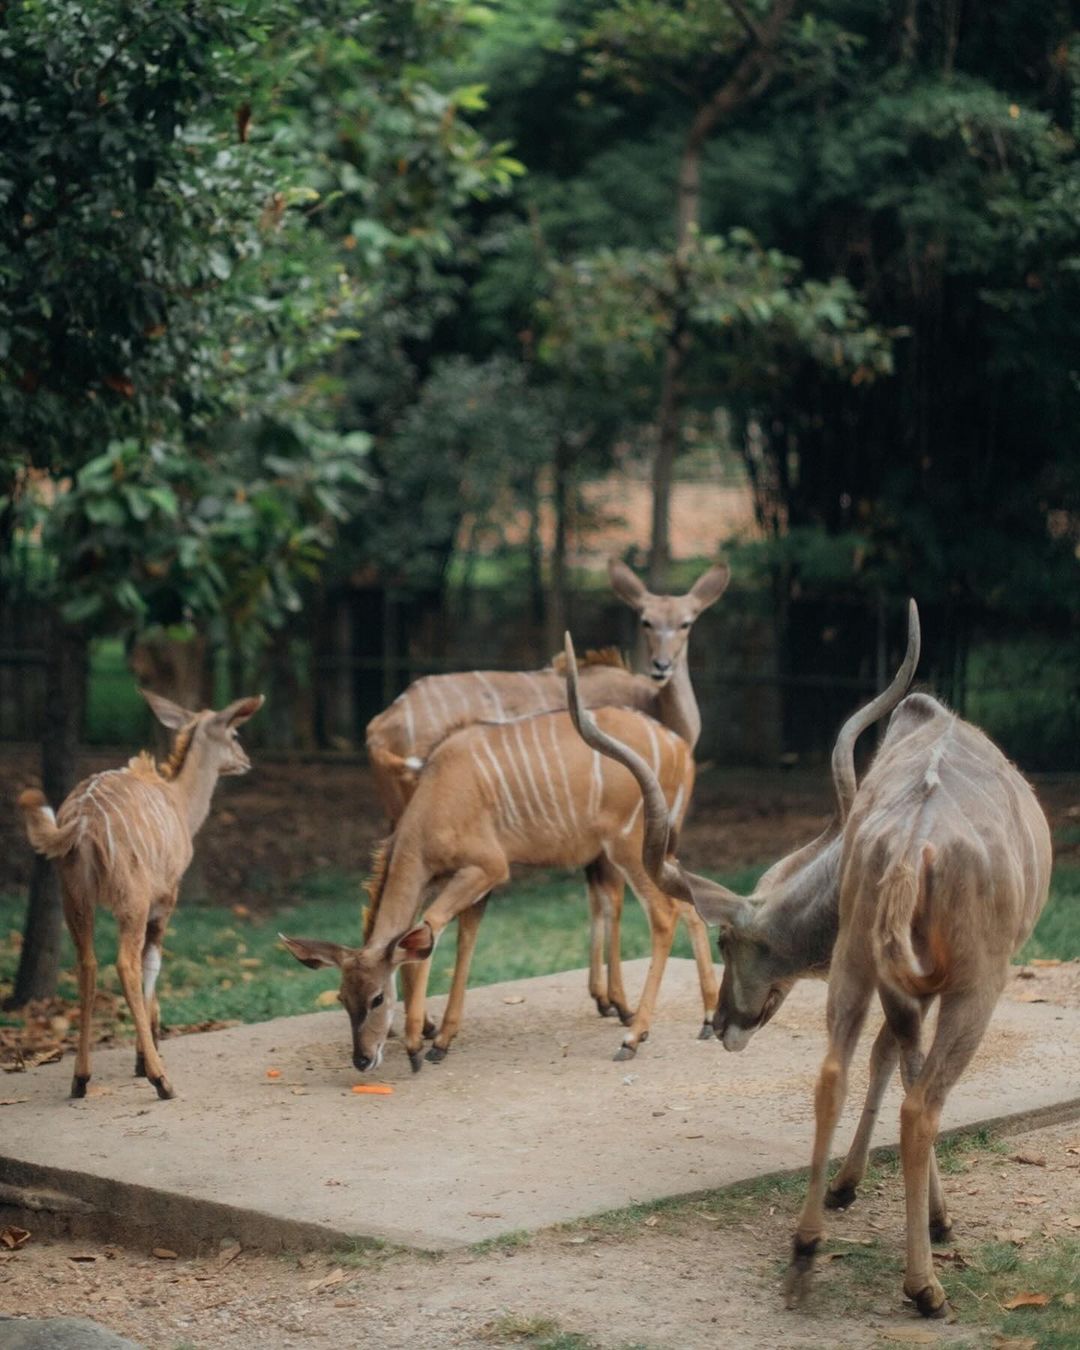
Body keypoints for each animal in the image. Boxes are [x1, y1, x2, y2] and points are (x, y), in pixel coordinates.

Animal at [16, 691, 263, 1101]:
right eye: (234, 733)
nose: (245, 761)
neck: (180, 802)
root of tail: (80, 824)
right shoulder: (165, 897)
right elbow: (153, 962)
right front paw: (143, 1059)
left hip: (74, 898)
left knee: (87, 963)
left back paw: (80, 1079)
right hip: (130, 898)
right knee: (125, 963)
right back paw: (162, 1081)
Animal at [282, 696, 718, 1063]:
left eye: (376, 998)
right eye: (341, 998)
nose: (362, 1059)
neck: (433, 802)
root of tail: (679, 748)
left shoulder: (487, 868)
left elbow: (430, 933)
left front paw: (419, 1042)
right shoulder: (467, 883)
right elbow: (460, 942)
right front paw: (440, 1036)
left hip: (628, 847)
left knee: (663, 915)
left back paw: (633, 1036)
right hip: (658, 851)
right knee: (689, 904)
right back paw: (709, 1018)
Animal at [367, 553, 729, 1036]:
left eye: (687, 622)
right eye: (646, 621)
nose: (661, 665)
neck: (655, 706)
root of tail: (380, 727)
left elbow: (600, 901)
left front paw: (605, 999)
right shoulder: (614, 837)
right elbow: (613, 902)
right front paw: (618, 1003)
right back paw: (418, 1024)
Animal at [561, 610, 1053, 1317]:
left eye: (729, 942)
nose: (722, 1021)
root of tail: (912, 846)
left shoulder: (894, 985)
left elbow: (889, 1057)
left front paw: (860, 1195)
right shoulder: (923, 988)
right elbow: (902, 1069)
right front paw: (930, 1218)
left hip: (857, 968)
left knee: (832, 1077)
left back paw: (803, 1253)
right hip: (976, 987)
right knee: (920, 1106)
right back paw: (923, 1287)